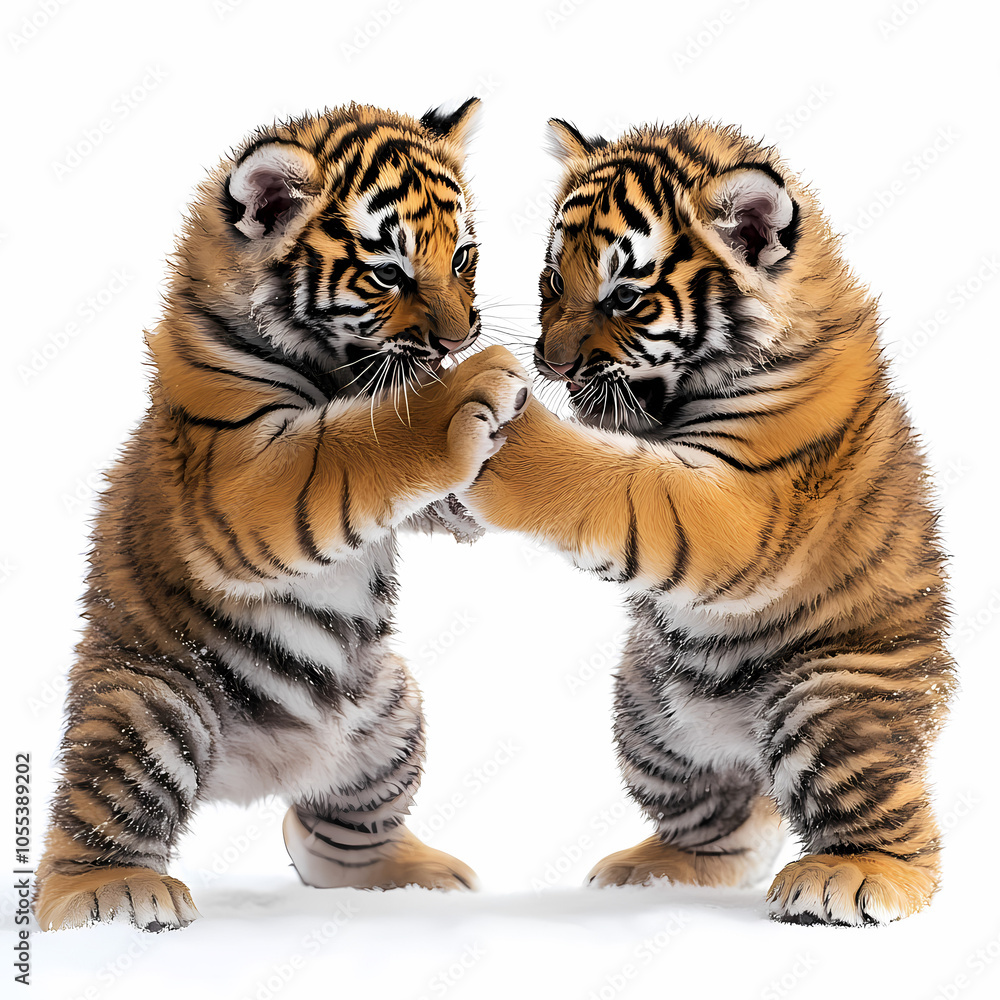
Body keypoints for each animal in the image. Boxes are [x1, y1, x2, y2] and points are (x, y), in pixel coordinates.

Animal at [33, 98, 531, 932]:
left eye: (464, 256)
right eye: (389, 271)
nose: (461, 336)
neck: (335, 367)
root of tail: (248, 777)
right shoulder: (240, 478)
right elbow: (363, 439)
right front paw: (472, 388)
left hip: (389, 715)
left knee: (328, 837)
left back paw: (417, 874)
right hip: (150, 704)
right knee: (84, 839)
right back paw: (111, 892)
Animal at [461, 118, 954, 925]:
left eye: (625, 297)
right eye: (553, 281)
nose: (551, 366)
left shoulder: (746, 502)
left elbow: (618, 479)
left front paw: (500, 426)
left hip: (829, 700)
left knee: (897, 825)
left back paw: (851, 874)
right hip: (648, 719)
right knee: (728, 820)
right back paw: (658, 869)